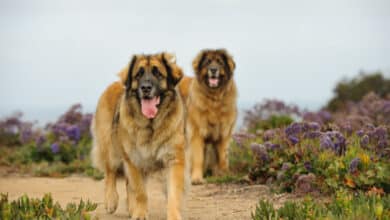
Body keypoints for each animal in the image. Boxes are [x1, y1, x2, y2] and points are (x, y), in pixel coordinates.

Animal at [92, 52, 188, 219]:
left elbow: (173, 193)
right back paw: (111, 200)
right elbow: (140, 192)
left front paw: (173, 215)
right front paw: (140, 213)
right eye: (138, 74)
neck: (151, 125)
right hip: (110, 148)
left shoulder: (174, 159)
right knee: (110, 173)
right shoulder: (134, 160)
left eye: (158, 73)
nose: (146, 88)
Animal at [177, 48, 238, 184]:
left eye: (220, 62)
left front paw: (224, 175)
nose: (213, 70)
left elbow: (223, 157)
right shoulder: (196, 133)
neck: (214, 99)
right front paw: (196, 178)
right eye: (208, 62)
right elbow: (198, 157)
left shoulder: (224, 133)